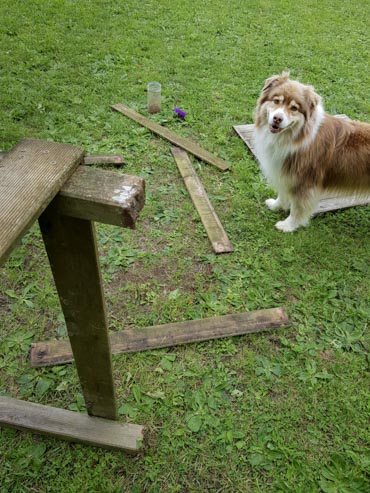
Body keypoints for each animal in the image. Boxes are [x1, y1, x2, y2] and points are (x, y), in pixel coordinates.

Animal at [254, 71, 370, 231]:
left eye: (294, 108)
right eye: (276, 101)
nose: (277, 118)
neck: (295, 137)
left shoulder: (304, 183)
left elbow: (297, 208)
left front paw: (288, 225)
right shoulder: (284, 173)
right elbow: (283, 194)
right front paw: (276, 205)